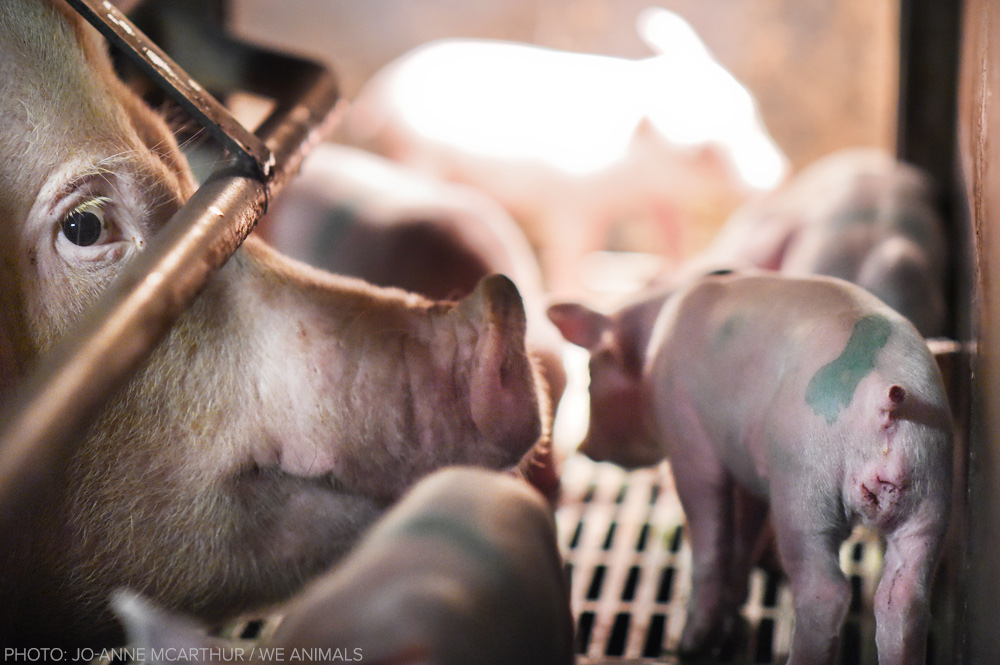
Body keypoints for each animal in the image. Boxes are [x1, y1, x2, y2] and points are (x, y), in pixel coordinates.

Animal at [344, 6, 788, 294]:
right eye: (705, 153)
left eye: (751, 114)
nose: (774, 176)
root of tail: (384, 84)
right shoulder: (573, 204)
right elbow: (572, 250)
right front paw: (572, 291)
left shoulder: (661, 198)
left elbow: (673, 233)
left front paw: (674, 273)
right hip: (419, 155)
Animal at [552, 272, 948, 664]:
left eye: (591, 374)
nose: (583, 448)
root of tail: (884, 401)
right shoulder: (750, 471)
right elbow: (744, 532)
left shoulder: (686, 434)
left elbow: (710, 536)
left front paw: (691, 645)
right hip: (929, 491)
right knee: (905, 599)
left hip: (804, 486)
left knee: (825, 592)